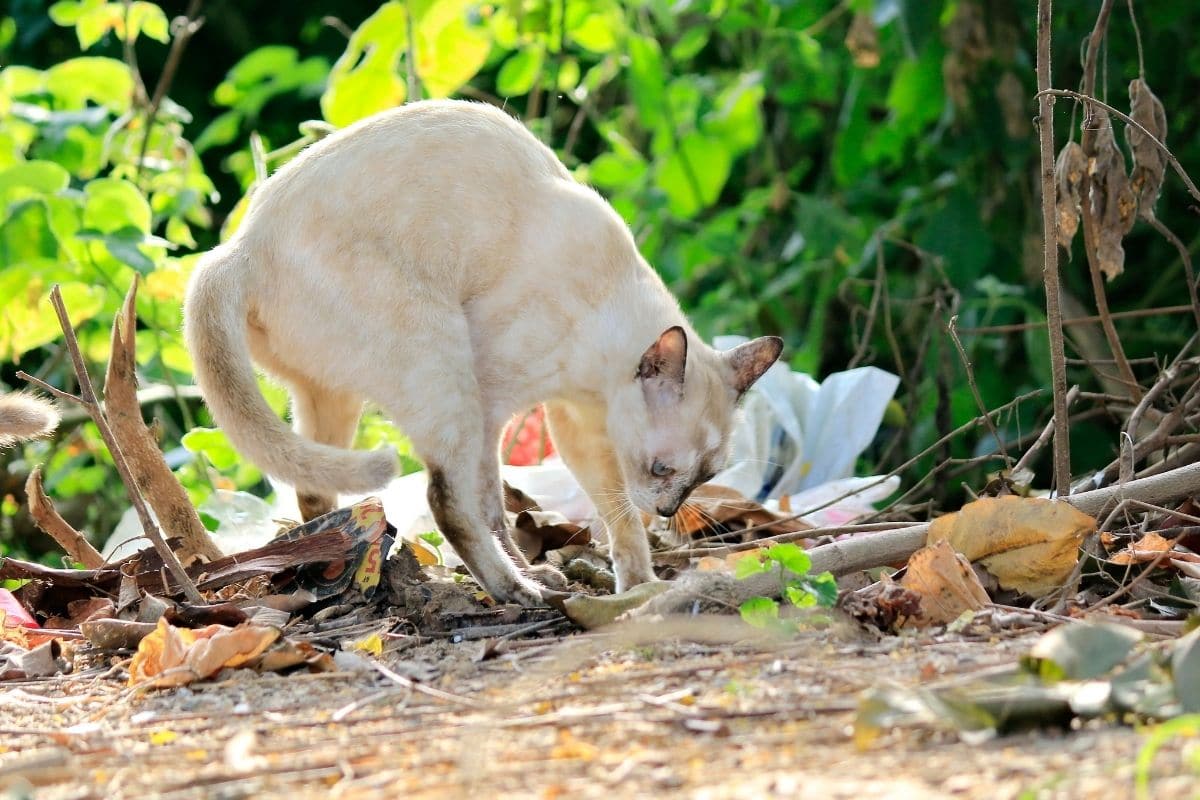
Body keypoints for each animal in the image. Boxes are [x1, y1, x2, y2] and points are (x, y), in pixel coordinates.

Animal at [182, 97, 782, 604]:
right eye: (661, 469)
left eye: (702, 477)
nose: (667, 508)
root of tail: (237, 249)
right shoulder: (499, 406)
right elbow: (495, 503)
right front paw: (547, 572)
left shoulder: (581, 428)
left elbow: (618, 518)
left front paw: (639, 586)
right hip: (444, 364)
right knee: (445, 503)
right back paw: (516, 589)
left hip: (333, 399)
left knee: (312, 493)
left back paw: (334, 571)